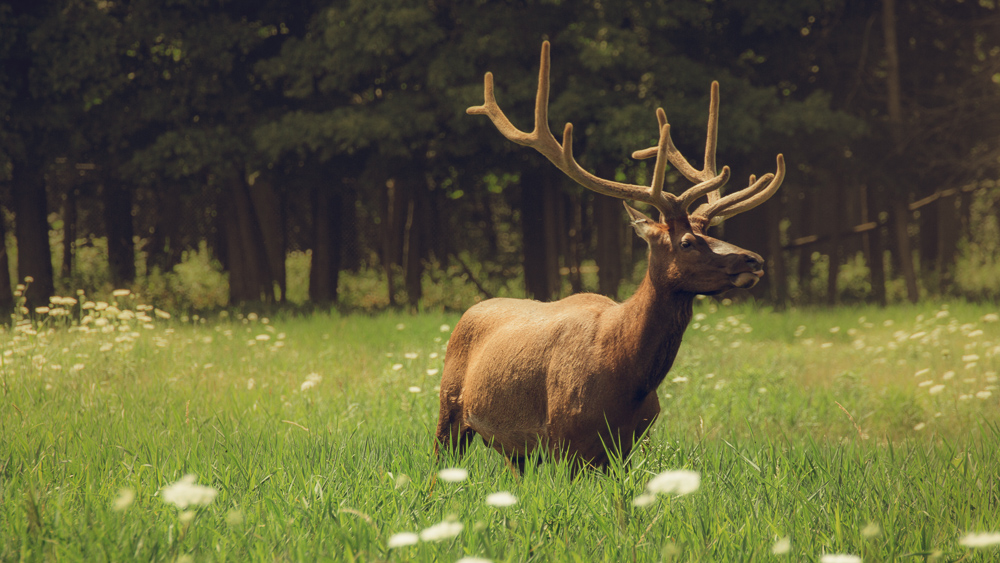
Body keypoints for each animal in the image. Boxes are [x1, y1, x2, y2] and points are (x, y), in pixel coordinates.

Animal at [435, 41, 785, 472]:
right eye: (687, 242)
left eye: (712, 233)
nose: (754, 260)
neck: (627, 379)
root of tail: (468, 311)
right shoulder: (565, 436)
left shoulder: (628, 443)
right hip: (449, 409)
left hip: (517, 450)